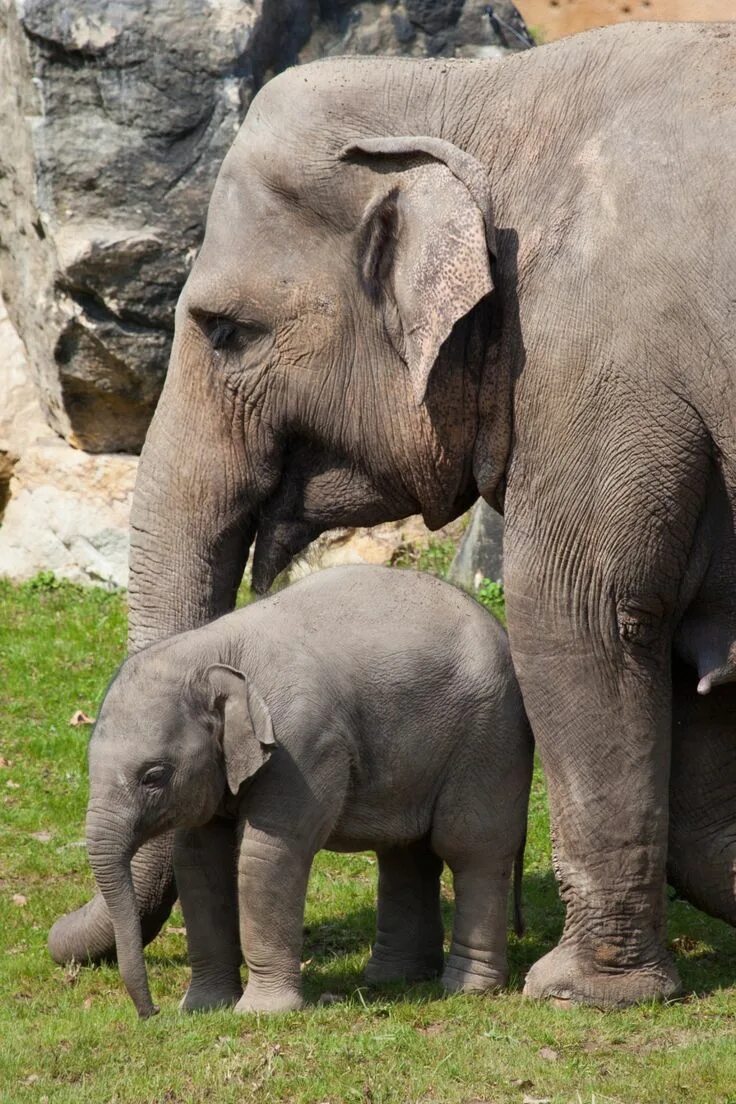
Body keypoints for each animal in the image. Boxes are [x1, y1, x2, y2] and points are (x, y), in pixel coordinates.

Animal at [86, 569, 531, 1015]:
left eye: (154, 776)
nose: (151, 1013)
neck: (216, 651)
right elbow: (198, 859)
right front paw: (203, 1008)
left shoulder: (300, 747)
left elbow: (268, 855)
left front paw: (261, 1013)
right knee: (406, 852)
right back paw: (394, 979)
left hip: (490, 734)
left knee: (471, 847)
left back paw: (467, 989)